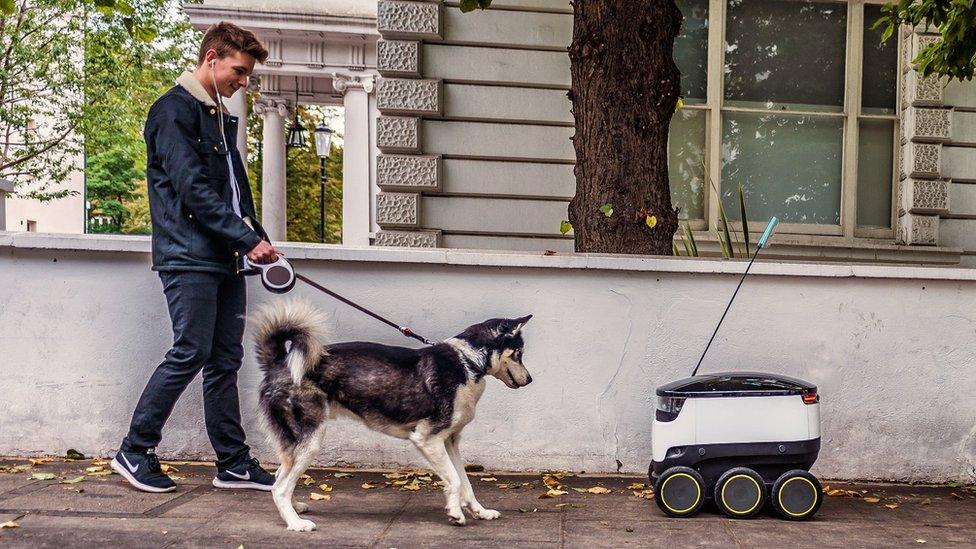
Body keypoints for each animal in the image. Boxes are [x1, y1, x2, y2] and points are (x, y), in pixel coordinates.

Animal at [248, 300, 528, 532]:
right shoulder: (428, 439)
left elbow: (466, 482)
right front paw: (455, 513)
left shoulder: (450, 442)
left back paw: (295, 510)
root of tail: (280, 362)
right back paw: (296, 523)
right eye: (519, 354)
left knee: (279, 477)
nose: (530, 379)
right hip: (310, 440)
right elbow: (456, 481)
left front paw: (480, 511)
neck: (468, 361)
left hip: (298, 444)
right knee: (279, 487)